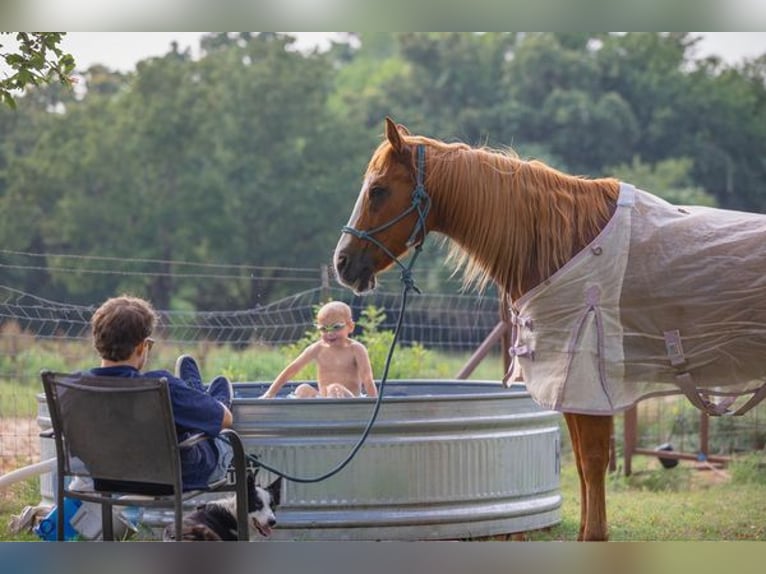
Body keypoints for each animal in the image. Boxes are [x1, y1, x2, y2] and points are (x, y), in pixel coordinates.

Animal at [333, 117, 766, 541]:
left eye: (378, 190)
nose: (342, 263)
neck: (565, 246)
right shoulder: (571, 386)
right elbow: (583, 468)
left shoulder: (586, 384)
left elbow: (591, 464)